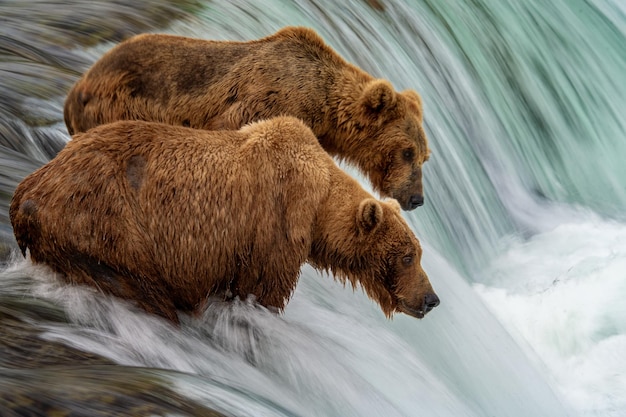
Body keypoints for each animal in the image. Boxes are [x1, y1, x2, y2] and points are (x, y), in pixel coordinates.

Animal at [11, 117, 438, 322]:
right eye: (406, 256)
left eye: (418, 255)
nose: (431, 299)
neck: (317, 208)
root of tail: (27, 192)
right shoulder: (273, 229)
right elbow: (263, 292)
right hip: (108, 231)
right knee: (143, 289)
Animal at [64, 25, 428, 211]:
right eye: (407, 151)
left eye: (424, 156)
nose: (416, 199)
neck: (323, 109)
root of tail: (78, 86)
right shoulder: (265, 99)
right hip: (123, 102)